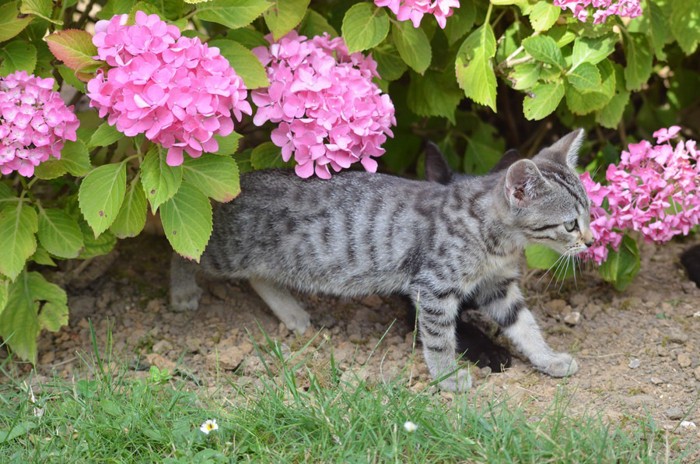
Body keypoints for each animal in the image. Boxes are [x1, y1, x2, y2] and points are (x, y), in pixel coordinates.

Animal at [170, 130, 592, 392]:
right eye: (570, 224)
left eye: (589, 214)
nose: (590, 240)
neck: (497, 240)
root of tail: (240, 183)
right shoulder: (433, 288)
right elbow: (440, 339)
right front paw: (448, 378)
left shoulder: (497, 286)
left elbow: (525, 326)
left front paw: (549, 359)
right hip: (224, 249)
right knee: (182, 249)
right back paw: (182, 290)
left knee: (259, 277)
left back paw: (291, 313)